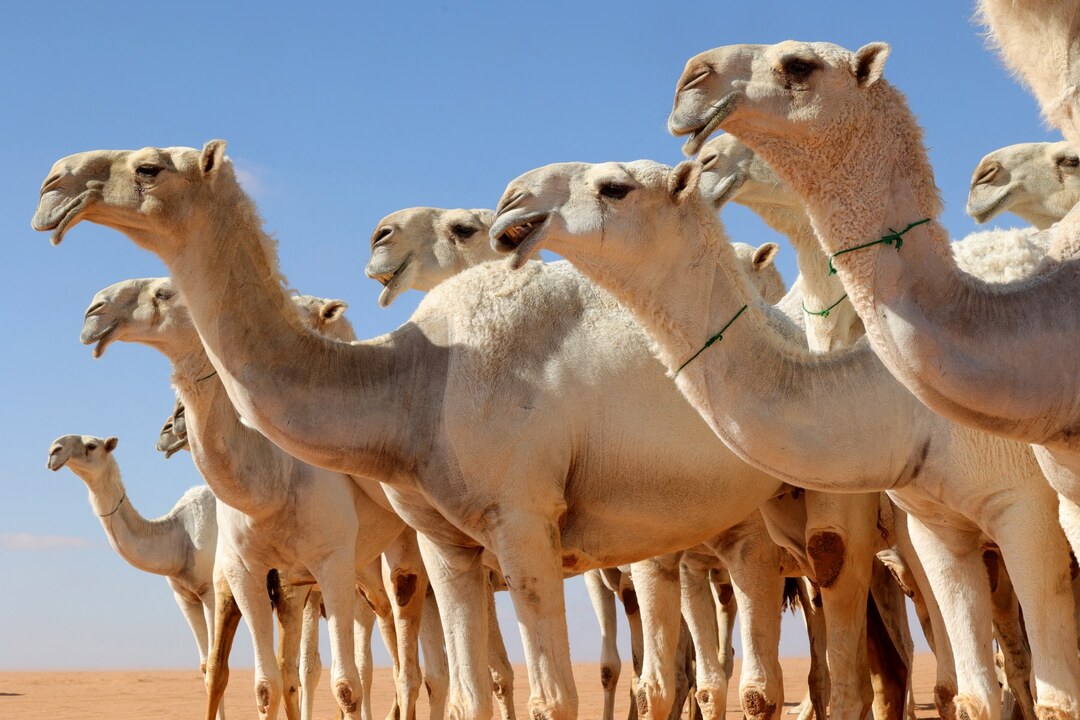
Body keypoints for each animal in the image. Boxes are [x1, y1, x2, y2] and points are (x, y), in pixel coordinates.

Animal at [78, 277, 429, 720]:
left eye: (165, 293)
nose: (94, 310)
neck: (273, 480)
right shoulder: (248, 572)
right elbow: (265, 683)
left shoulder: (330, 562)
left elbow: (344, 685)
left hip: (399, 545)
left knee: (408, 649)